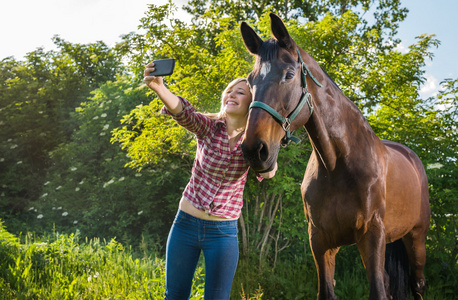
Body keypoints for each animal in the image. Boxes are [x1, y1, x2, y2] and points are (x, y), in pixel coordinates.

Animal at [242, 12, 432, 298]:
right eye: (250, 80)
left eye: (289, 75)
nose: (255, 150)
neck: (338, 166)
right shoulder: (320, 242)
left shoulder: (371, 235)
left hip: (415, 238)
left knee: (417, 284)